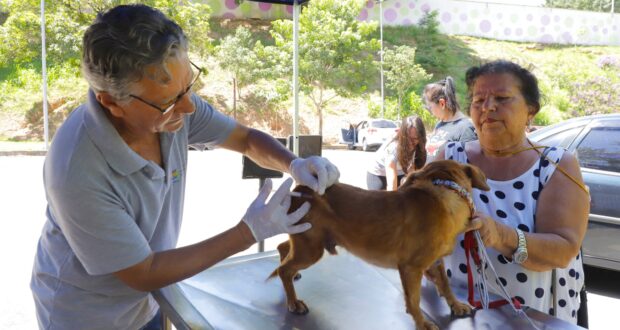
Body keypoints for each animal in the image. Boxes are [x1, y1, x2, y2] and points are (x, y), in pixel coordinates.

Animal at [268, 159, 492, 328]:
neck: (443, 192)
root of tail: (301, 188)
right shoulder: (411, 268)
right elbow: (414, 300)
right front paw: (422, 323)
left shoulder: (436, 262)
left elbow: (445, 284)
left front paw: (456, 305)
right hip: (311, 248)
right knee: (283, 269)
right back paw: (293, 301)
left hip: (308, 241)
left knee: (283, 248)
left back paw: (293, 277)